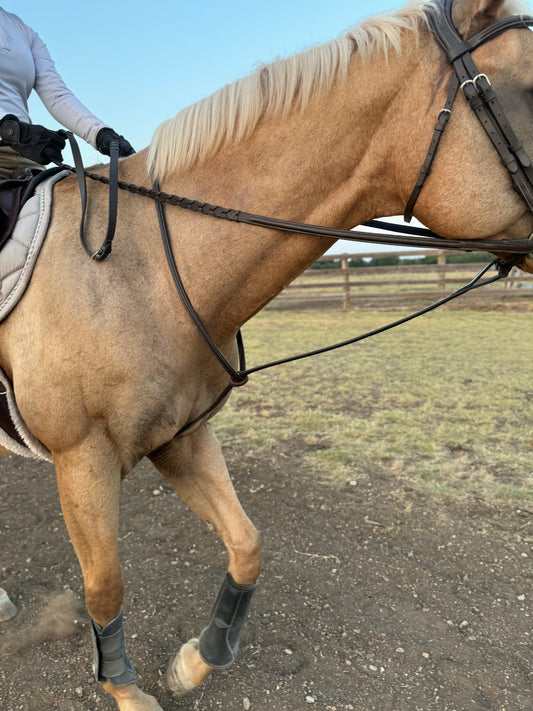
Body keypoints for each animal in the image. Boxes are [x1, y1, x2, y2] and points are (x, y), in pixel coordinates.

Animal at [1, 1, 532, 711]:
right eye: (530, 90)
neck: (142, 269)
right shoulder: (82, 458)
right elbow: (105, 586)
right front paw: (128, 690)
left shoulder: (181, 437)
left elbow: (247, 544)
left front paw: (197, 661)